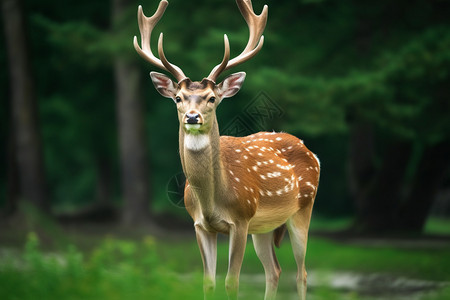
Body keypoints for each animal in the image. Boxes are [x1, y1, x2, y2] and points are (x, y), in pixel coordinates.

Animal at [133, 1, 320, 298]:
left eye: (212, 98)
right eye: (178, 98)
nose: (193, 117)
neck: (213, 201)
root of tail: (310, 151)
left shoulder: (241, 220)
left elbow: (232, 282)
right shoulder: (200, 225)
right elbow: (208, 281)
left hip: (303, 208)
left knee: (301, 273)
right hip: (263, 227)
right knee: (274, 270)